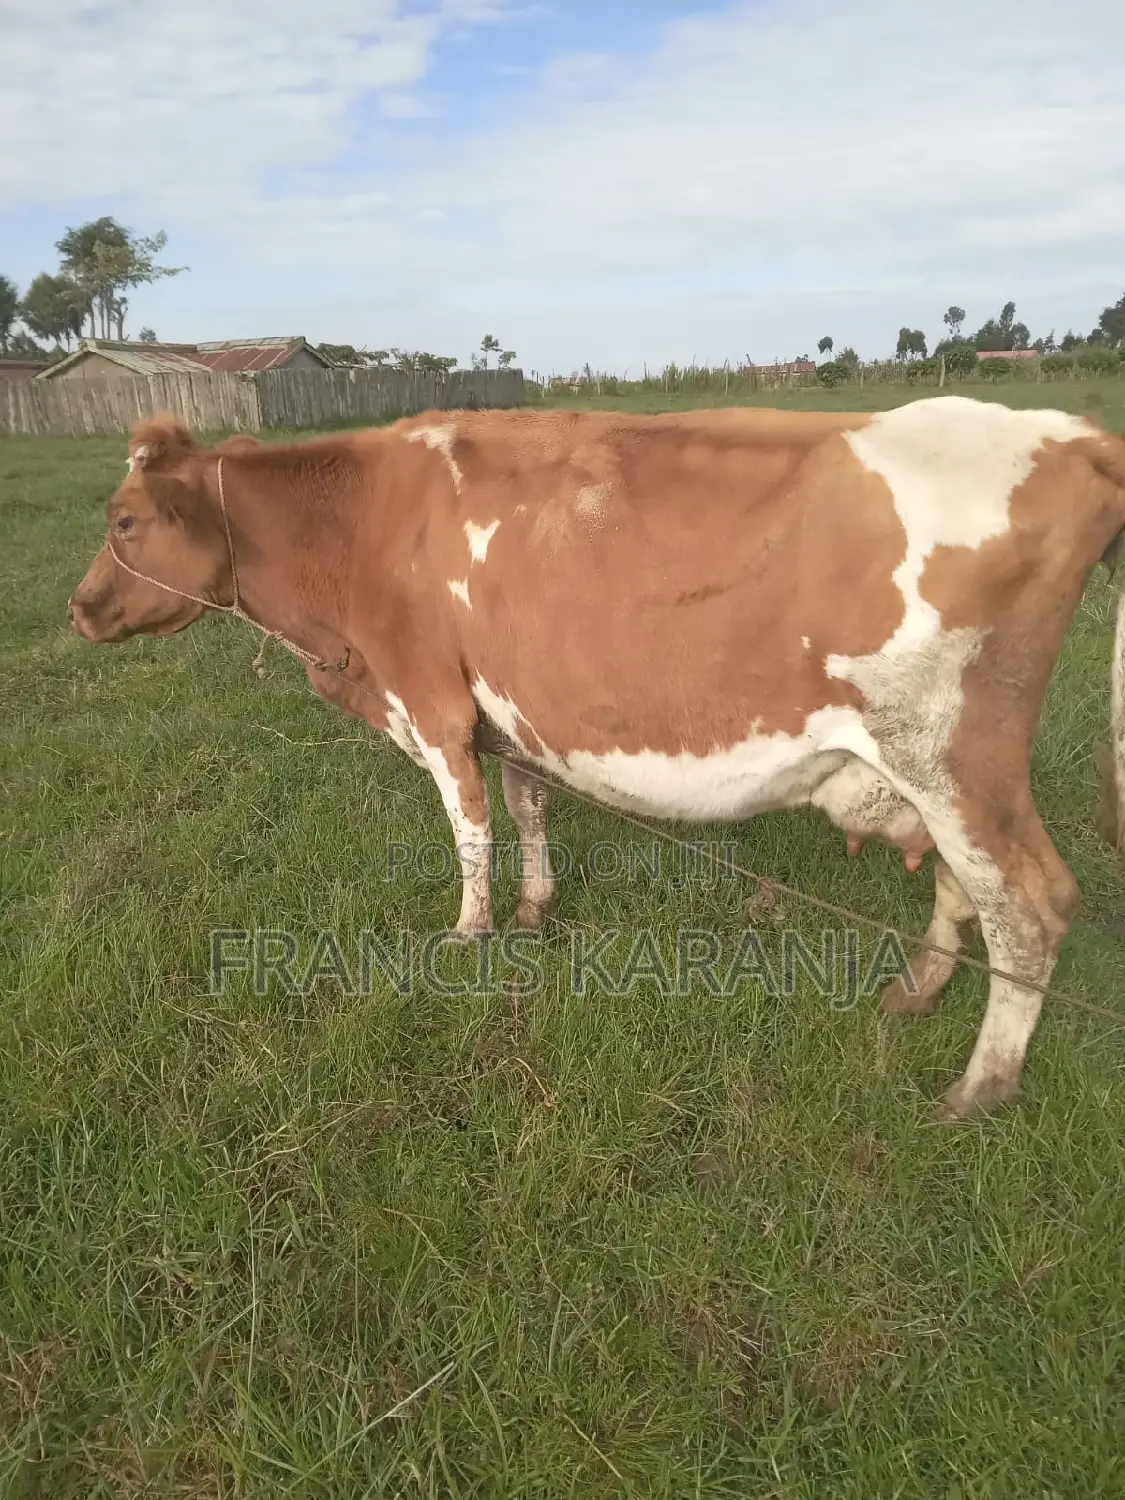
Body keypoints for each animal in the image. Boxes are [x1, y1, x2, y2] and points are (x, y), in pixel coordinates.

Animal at [67, 397, 1125, 1119]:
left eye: (123, 522)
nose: (77, 609)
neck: (358, 525)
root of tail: (1072, 435)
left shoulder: (432, 703)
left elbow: (469, 829)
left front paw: (469, 934)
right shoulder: (504, 706)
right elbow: (527, 807)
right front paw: (535, 910)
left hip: (953, 754)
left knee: (1028, 905)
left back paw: (980, 1085)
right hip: (935, 768)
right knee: (964, 884)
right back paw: (919, 987)